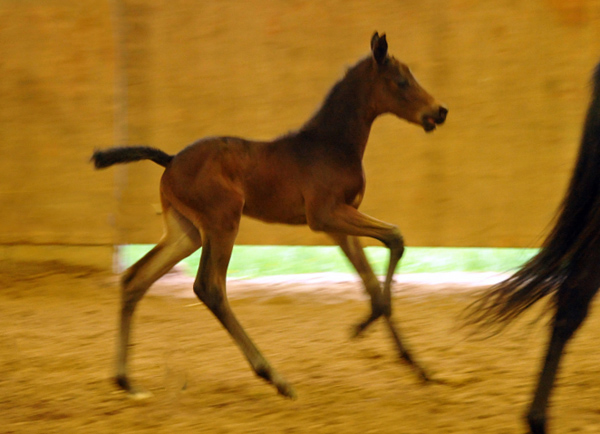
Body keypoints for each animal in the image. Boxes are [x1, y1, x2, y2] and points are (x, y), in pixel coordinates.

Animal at [89, 33, 446, 400]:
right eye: (401, 81)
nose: (439, 111)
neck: (331, 146)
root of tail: (171, 159)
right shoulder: (326, 215)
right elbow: (395, 238)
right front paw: (363, 329)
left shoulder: (340, 225)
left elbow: (372, 283)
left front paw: (415, 364)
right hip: (223, 222)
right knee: (209, 287)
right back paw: (274, 376)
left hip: (185, 232)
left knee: (135, 278)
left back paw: (126, 380)